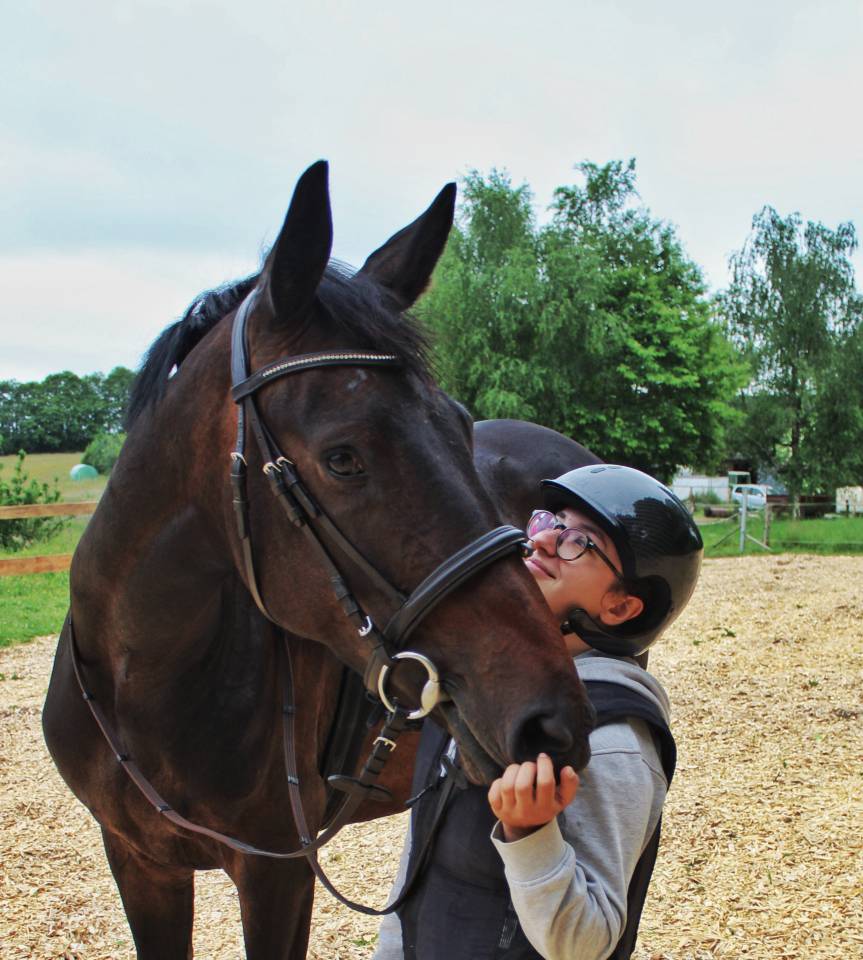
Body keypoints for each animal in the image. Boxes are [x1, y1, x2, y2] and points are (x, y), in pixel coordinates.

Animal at [42, 162, 595, 959]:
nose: (549, 718)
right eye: (342, 458)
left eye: (460, 426)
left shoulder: (277, 874)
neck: (142, 679)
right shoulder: (139, 862)